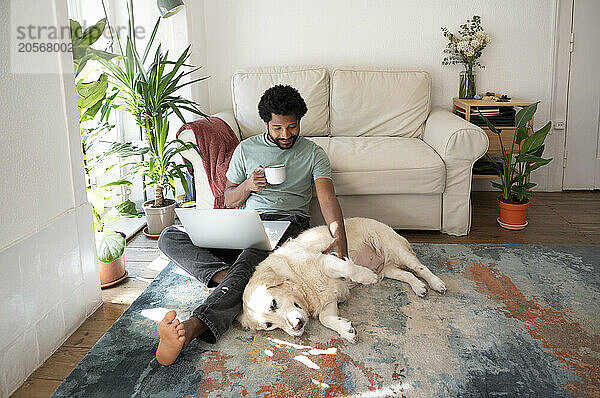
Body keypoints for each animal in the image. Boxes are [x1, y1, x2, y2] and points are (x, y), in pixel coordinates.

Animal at [239, 218, 446, 342]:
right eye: (269, 325)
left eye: (273, 303)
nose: (296, 327)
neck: (298, 280)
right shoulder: (328, 299)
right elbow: (325, 319)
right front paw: (346, 330)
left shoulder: (327, 260)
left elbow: (349, 268)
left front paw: (366, 277)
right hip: (388, 269)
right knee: (408, 275)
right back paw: (419, 287)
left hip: (397, 250)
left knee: (420, 268)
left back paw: (436, 283)